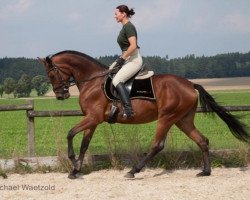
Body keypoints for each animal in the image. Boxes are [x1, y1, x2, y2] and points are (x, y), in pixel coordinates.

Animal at [38, 50, 249, 179]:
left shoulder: (93, 118)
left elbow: (70, 133)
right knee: (202, 140)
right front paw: (75, 170)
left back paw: (133, 170)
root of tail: (190, 84)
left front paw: (72, 160)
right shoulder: (93, 120)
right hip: (183, 120)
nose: (61, 95)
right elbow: (84, 144)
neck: (92, 81)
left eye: (52, 74)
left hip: (166, 118)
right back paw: (205, 171)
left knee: (157, 145)